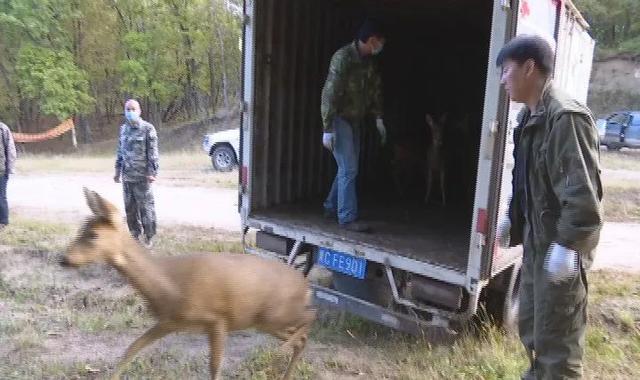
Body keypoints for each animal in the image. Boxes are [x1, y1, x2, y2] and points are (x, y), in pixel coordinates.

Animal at [61, 189, 316, 378]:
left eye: (93, 235)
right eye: (81, 228)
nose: (64, 259)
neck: (170, 283)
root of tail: (305, 286)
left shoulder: (218, 319)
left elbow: (214, 368)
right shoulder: (168, 322)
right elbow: (130, 351)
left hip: (274, 315)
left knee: (312, 316)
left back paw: (285, 348)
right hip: (264, 322)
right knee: (302, 338)